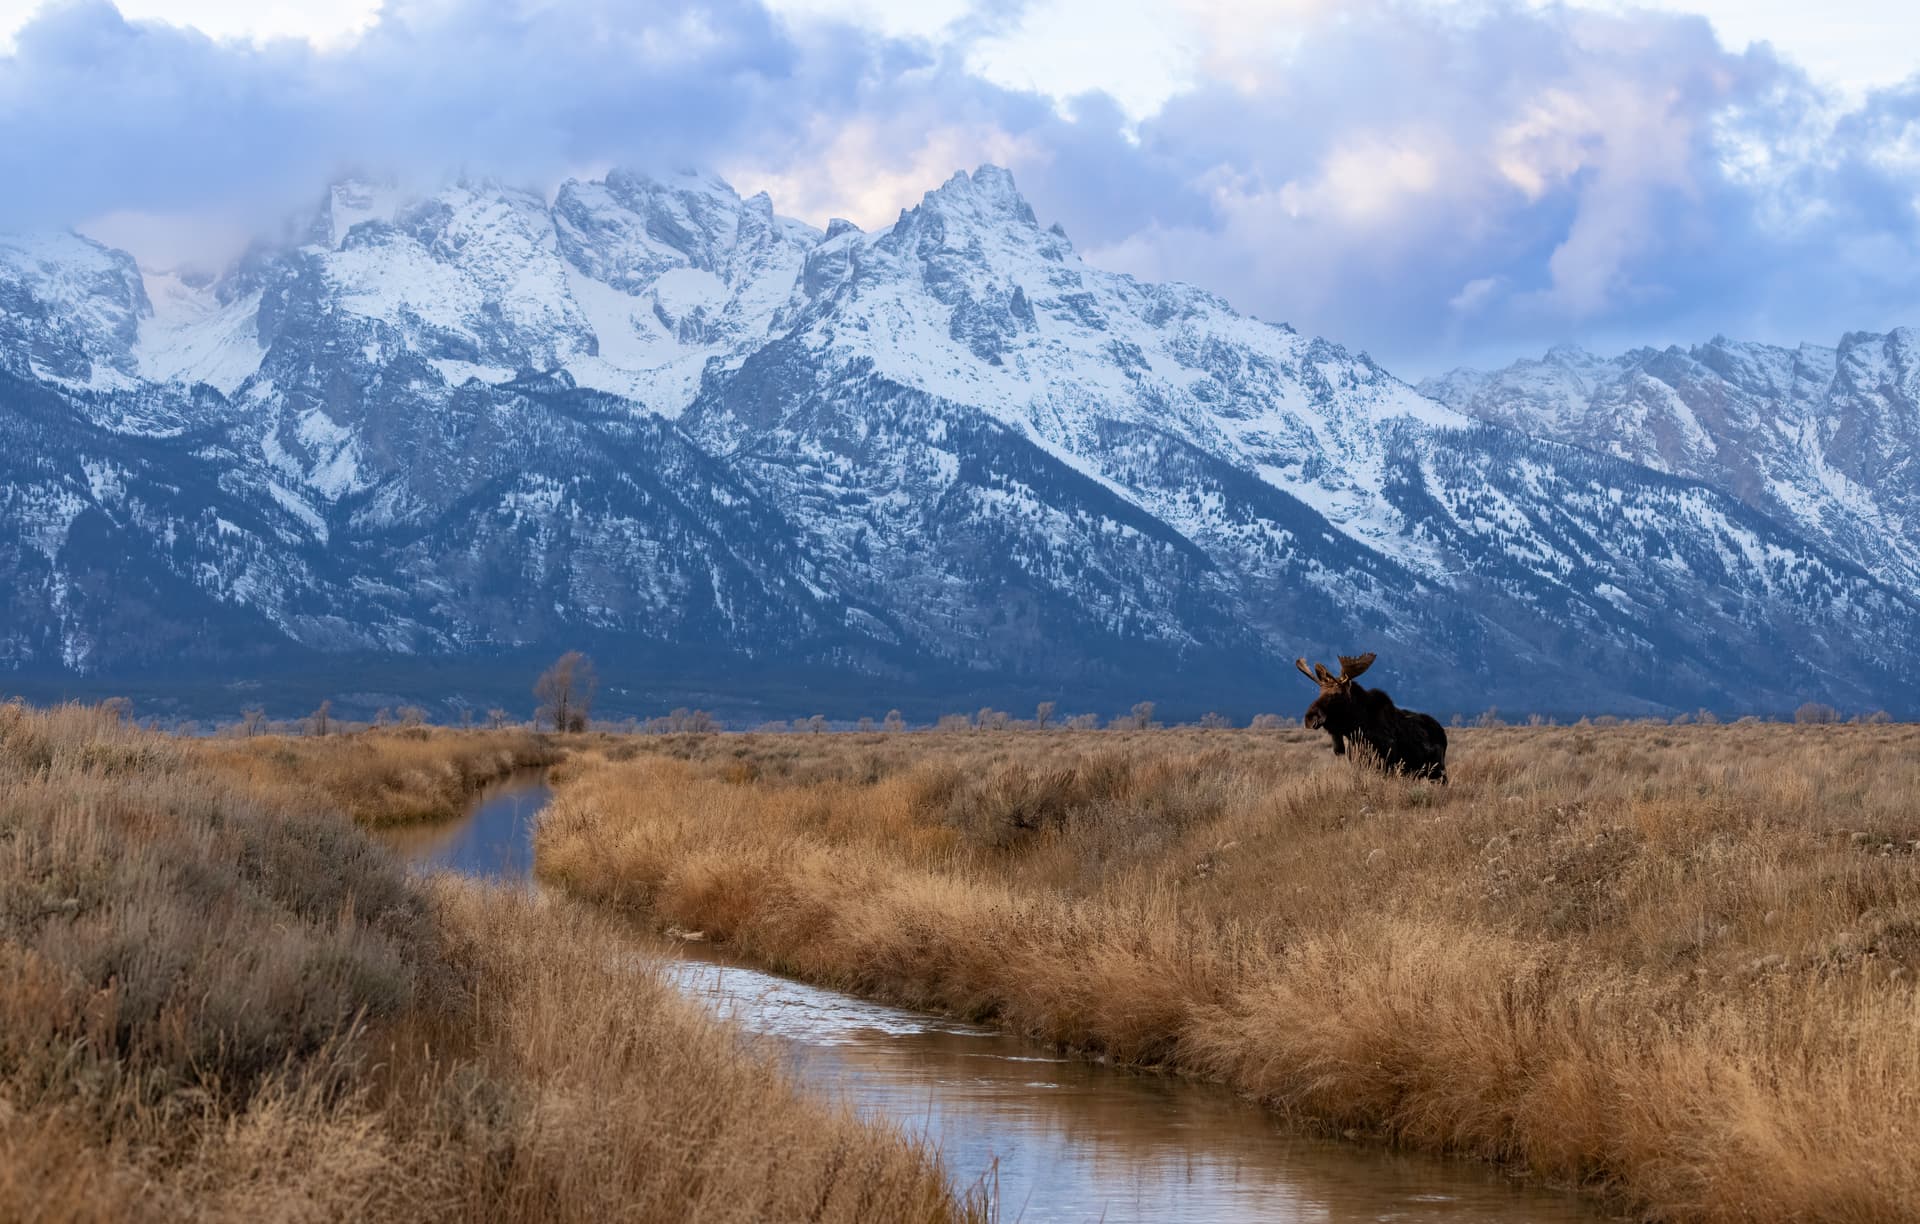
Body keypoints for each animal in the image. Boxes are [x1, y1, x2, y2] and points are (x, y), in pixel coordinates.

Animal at [1295, 652, 1448, 782]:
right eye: (1320, 692)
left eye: (1337, 694)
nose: (1310, 718)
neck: (1357, 730)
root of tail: (1443, 733)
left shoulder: (1387, 766)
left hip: (1438, 771)